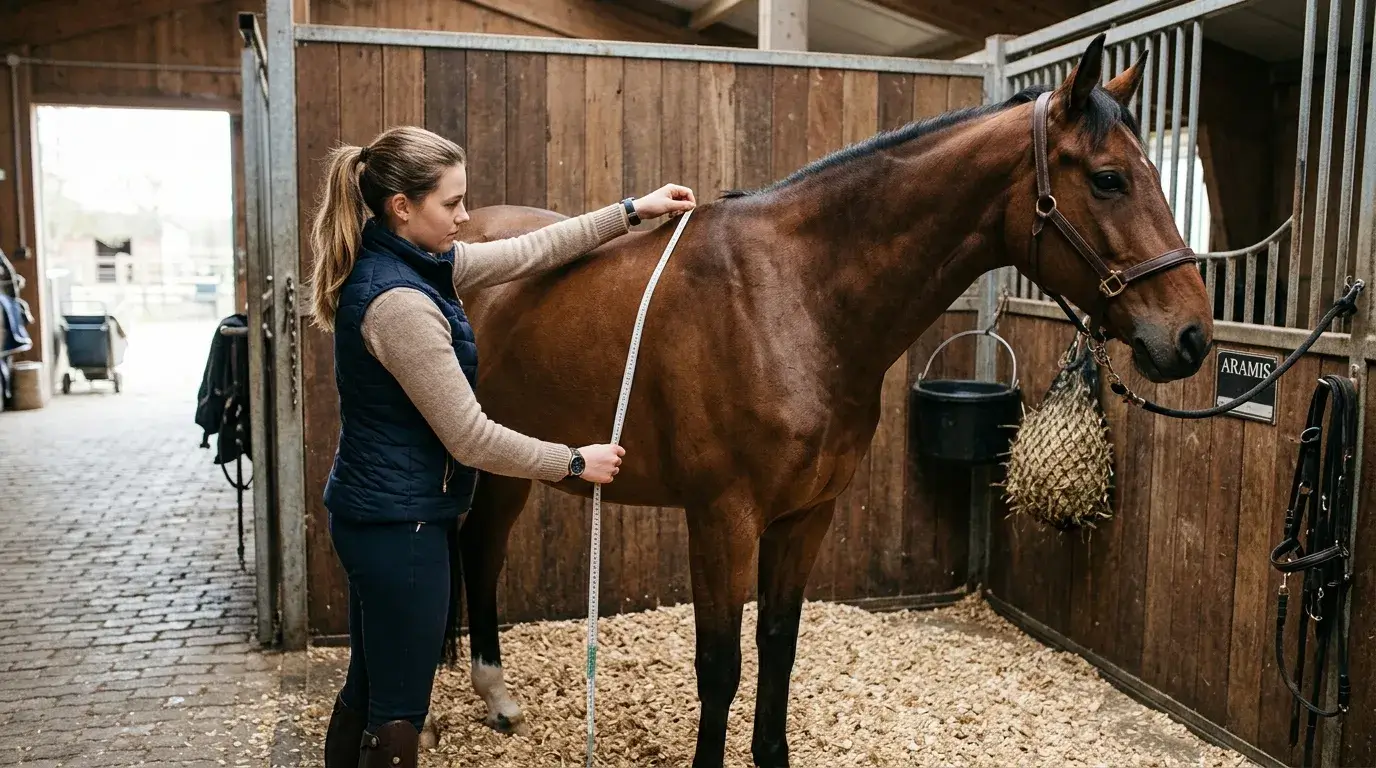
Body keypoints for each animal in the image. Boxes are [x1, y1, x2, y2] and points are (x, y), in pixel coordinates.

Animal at [442, 34, 1213, 768]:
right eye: (1109, 179)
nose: (1193, 335)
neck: (790, 298)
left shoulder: (807, 515)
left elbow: (779, 645)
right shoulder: (721, 519)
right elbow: (719, 666)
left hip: (516, 460)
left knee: (482, 550)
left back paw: (496, 696)